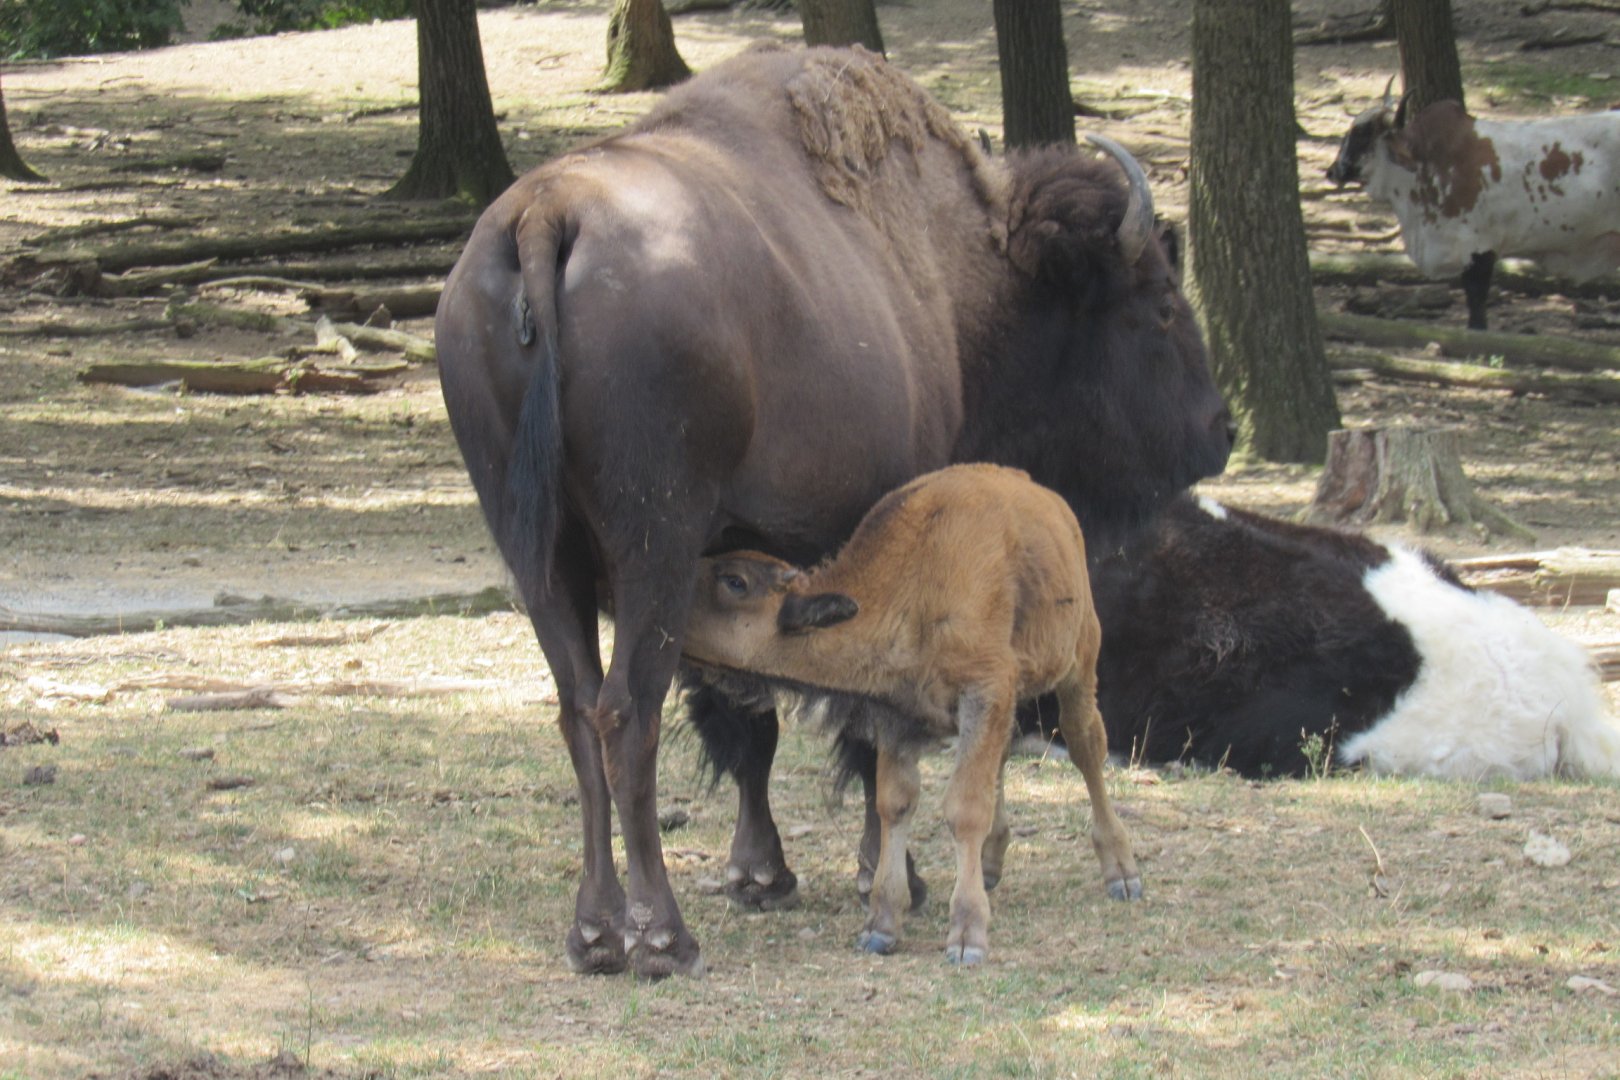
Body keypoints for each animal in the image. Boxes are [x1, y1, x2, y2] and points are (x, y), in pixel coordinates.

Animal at [683, 465, 1139, 965]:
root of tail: (1049, 501)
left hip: (1078, 663)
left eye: (735, 581)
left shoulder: (985, 690)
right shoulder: (900, 716)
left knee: (1086, 747)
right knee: (1004, 758)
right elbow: (894, 804)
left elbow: (964, 808)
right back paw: (991, 864)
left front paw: (966, 936)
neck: (914, 582)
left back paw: (1122, 873)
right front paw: (881, 926)